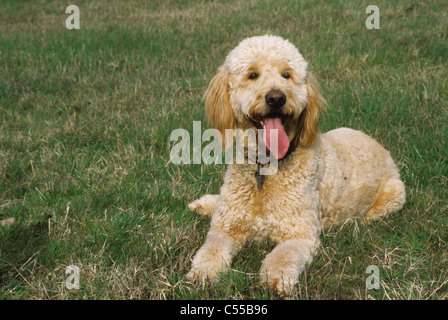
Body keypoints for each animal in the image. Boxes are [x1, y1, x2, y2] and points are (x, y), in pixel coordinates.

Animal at [186, 35, 406, 296]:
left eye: (286, 75)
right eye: (252, 75)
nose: (276, 98)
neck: (266, 168)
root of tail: (379, 145)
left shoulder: (300, 234)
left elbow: (282, 256)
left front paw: (274, 279)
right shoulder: (225, 227)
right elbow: (210, 250)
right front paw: (202, 274)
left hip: (394, 194)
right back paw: (203, 204)